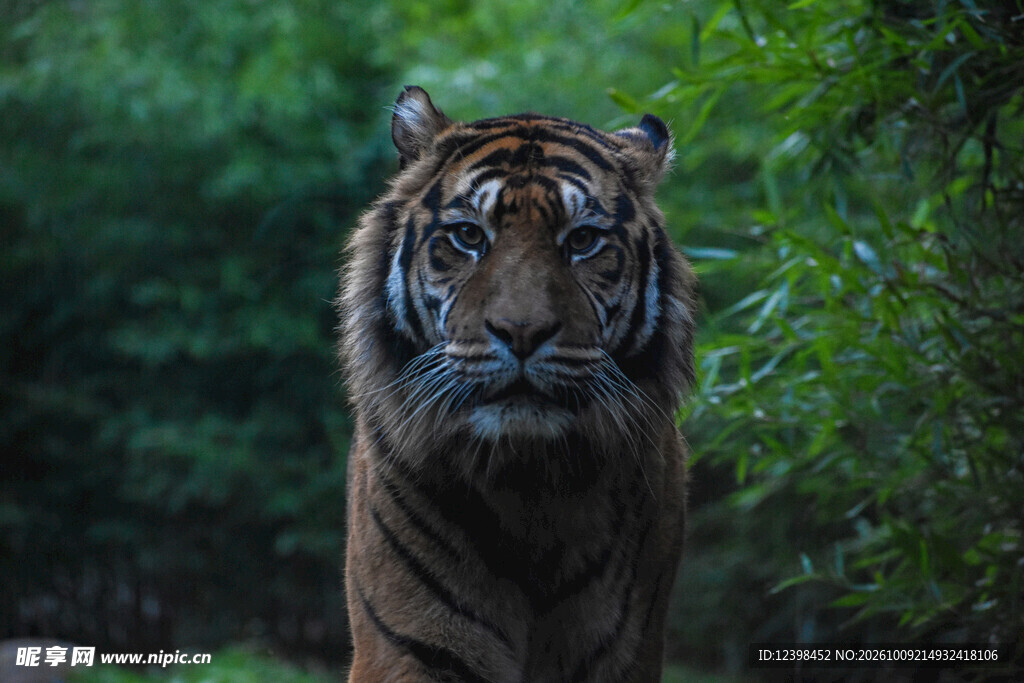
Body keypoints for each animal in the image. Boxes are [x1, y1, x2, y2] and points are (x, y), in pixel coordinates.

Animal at [337, 85, 696, 682]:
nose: (522, 331)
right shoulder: (411, 645)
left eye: (583, 240)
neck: (527, 484)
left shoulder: (627, 652)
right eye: (468, 236)